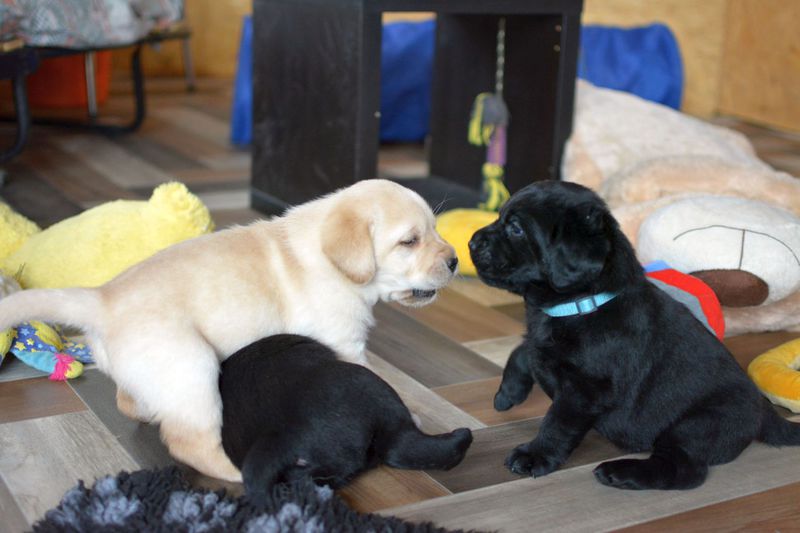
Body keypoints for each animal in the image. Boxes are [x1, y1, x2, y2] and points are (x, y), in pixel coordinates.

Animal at [0, 179, 458, 482]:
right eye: (409, 241)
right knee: (190, 443)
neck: (330, 260)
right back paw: (237, 471)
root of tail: (102, 299)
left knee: (131, 402)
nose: (454, 260)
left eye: (435, 229)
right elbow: (373, 374)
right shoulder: (344, 343)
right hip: (191, 367)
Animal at [468, 180, 800, 490]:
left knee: (685, 471)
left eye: (516, 228)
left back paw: (620, 473)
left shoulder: (586, 390)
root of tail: (764, 411)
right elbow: (523, 351)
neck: (583, 303)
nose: (471, 242)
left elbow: (557, 423)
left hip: (695, 425)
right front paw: (508, 393)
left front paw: (534, 455)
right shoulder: (543, 340)